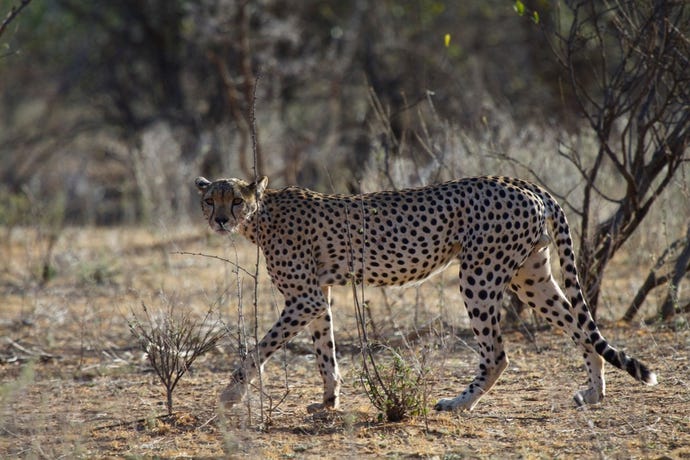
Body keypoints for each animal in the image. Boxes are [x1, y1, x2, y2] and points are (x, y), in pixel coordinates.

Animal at [195, 175, 656, 414]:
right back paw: (595, 392)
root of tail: (525, 183)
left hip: (479, 274)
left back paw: (458, 403)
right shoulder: (318, 296)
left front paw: (232, 393)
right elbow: (326, 352)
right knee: (581, 326)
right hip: (531, 276)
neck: (262, 214)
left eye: (236, 201)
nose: (220, 220)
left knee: (498, 355)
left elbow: (259, 348)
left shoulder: (304, 297)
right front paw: (329, 401)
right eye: (209, 199)